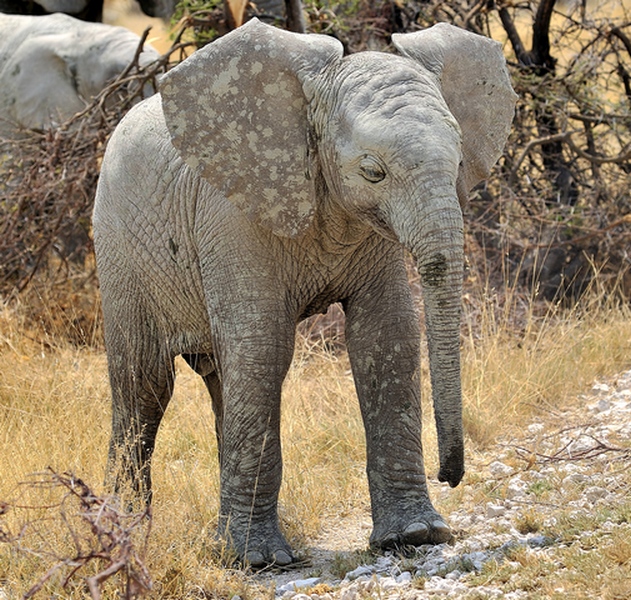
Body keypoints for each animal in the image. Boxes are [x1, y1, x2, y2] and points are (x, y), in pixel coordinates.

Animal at [94, 17, 520, 568]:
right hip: (119, 249)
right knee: (144, 384)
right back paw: (126, 535)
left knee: (219, 377)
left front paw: (417, 536)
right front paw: (256, 561)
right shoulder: (232, 216)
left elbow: (387, 339)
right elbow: (263, 349)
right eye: (373, 172)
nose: (451, 476)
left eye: (461, 161)